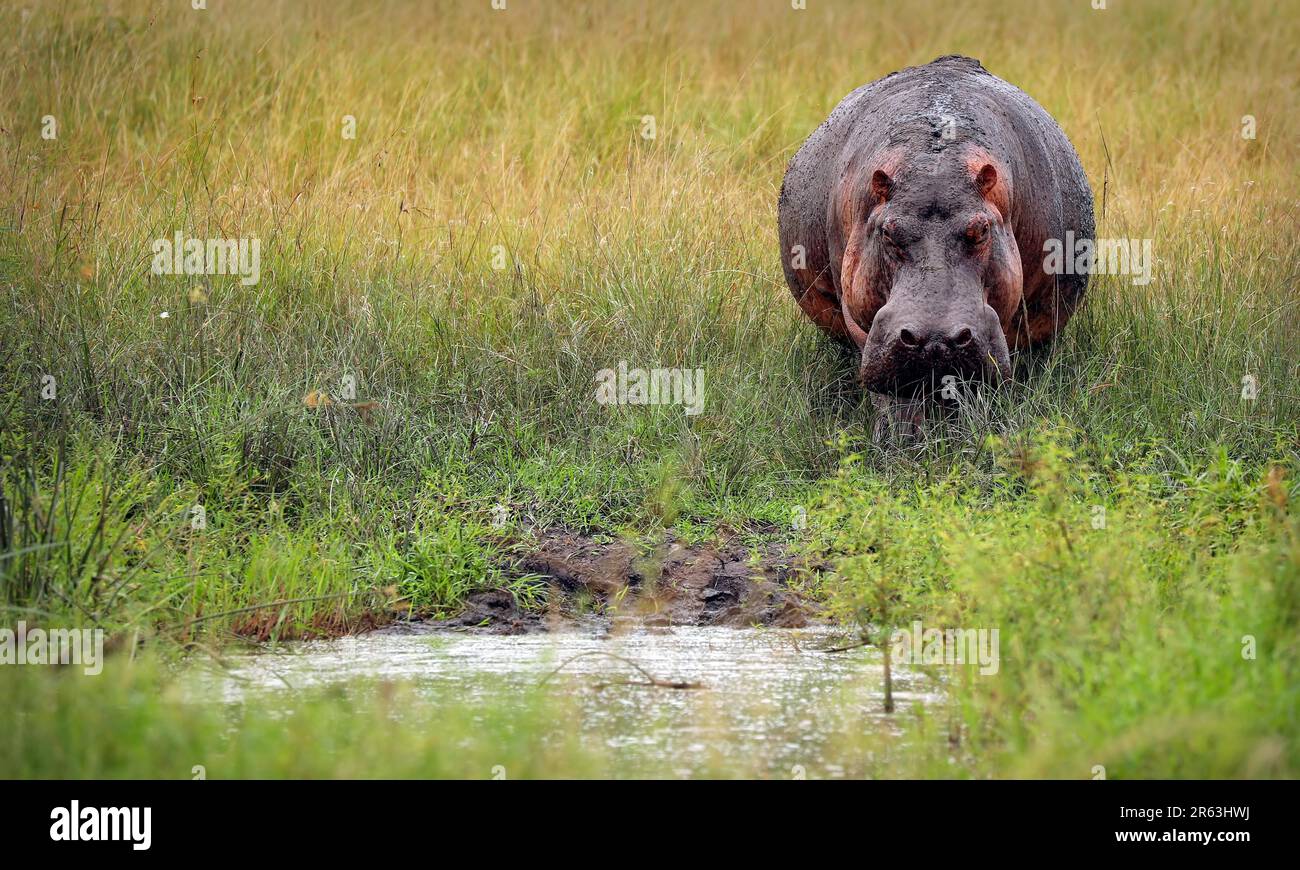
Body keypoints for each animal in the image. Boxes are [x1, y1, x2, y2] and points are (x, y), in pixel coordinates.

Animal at [774, 54, 1092, 434]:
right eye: (887, 232)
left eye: (981, 230)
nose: (934, 338)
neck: (935, 163)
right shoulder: (865, 321)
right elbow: (895, 395)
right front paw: (900, 438)